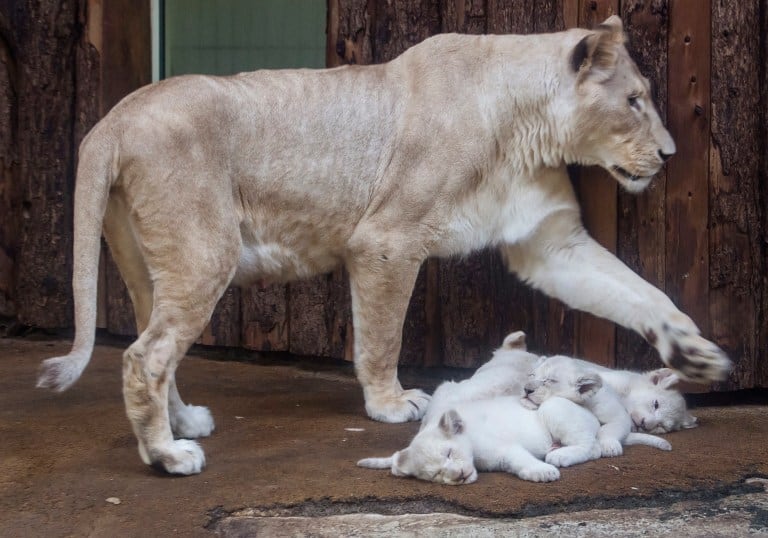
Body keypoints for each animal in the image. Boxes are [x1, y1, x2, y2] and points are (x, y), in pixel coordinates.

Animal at [37, 16, 730, 475]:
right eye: (634, 101)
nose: (670, 155)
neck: (525, 125)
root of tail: (112, 119)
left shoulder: (549, 241)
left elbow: (639, 292)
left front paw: (697, 354)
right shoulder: (386, 240)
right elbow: (381, 335)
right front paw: (392, 404)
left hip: (149, 264)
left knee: (156, 347)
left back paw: (182, 423)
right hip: (205, 252)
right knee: (144, 357)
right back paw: (168, 454)